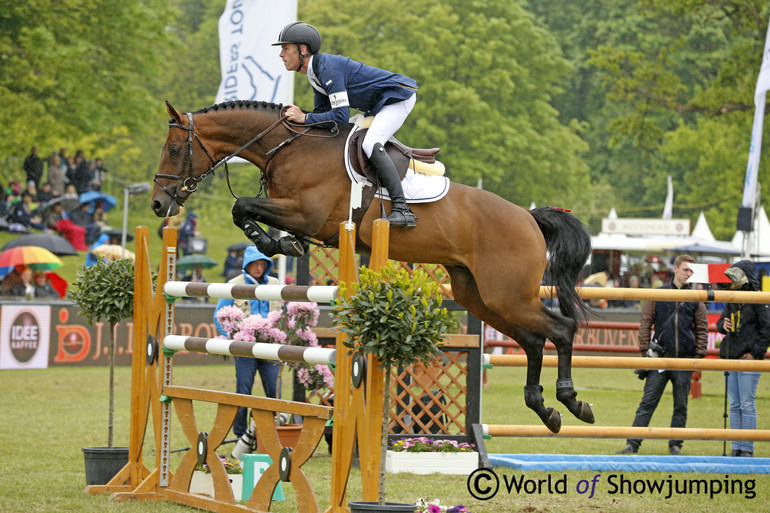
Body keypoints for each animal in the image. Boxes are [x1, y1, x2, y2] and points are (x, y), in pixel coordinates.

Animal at [150, 100, 592, 432]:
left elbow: (241, 205)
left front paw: (274, 242)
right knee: (533, 340)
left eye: (173, 149)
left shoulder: (308, 214)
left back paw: (572, 400)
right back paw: (545, 410)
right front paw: (280, 242)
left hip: (508, 294)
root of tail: (529, 218)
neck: (289, 147)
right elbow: (243, 209)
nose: (158, 204)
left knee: (560, 329)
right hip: (480, 297)